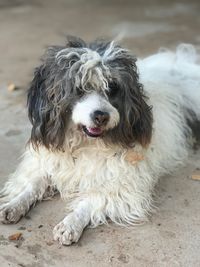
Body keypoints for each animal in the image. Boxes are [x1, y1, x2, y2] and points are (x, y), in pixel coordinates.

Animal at [0, 36, 200, 246]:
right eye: (79, 89)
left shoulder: (120, 186)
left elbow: (90, 202)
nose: (101, 116)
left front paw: (70, 223)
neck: (83, 145)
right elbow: (33, 185)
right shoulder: (50, 163)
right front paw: (14, 204)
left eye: (112, 88)